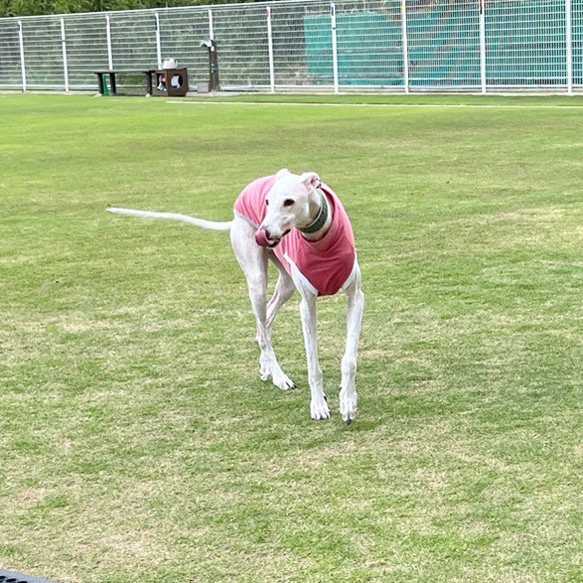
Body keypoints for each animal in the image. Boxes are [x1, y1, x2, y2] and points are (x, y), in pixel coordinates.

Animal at [107, 171, 362, 422]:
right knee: (264, 326)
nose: (262, 233)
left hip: (287, 281)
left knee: (266, 319)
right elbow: (313, 364)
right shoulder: (307, 306)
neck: (319, 239)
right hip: (257, 279)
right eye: (267, 202)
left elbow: (349, 358)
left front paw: (348, 402)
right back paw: (279, 376)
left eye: (289, 202)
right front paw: (318, 405)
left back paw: (266, 367)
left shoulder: (356, 298)